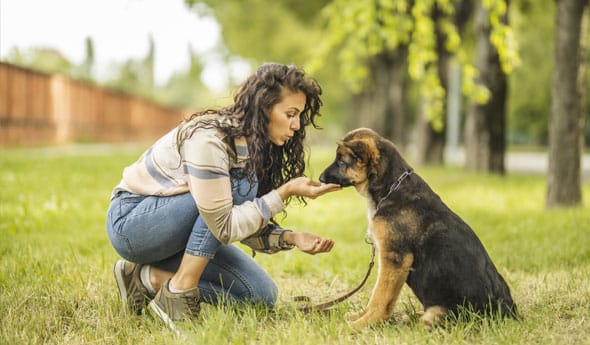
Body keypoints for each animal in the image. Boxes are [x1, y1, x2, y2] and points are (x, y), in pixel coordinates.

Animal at [320, 127, 520, 328]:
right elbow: (378, 296)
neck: (391, 188)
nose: (320, 178)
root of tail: (509, 314)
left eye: (341, 161)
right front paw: (359, 317)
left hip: (440, 313)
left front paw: (362, 324)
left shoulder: (394, 259)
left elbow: (379, 296)